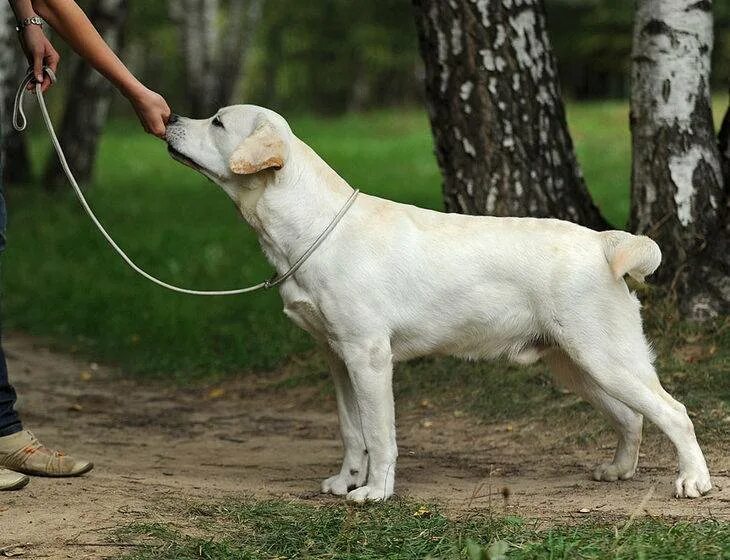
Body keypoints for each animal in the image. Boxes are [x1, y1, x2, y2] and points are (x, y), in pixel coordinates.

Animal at [166, 105, 712, 504]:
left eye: (217, 122)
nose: (169, 118)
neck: (314, 227)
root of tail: (602, 242)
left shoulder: (369, 356)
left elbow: (379, 433)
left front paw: (375, 492)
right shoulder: (337, 358)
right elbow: (351, 430)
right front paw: (346, 481)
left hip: (605, 357)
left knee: (674, 411)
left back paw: (693, 482)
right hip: (577, 365)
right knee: (632, 418)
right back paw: (618, 470)